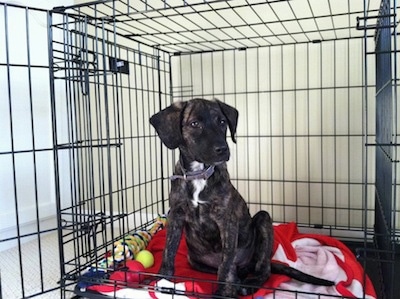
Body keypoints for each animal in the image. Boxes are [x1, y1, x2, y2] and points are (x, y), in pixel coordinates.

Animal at [148, 98, 332, 298]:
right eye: (194, 124)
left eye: (222, 122)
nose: (223, 149)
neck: (199, 174)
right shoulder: (176, 214)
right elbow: (169, 250)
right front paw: (161, 279)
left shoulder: (227, 220)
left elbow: (226, 261)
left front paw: (223, 291)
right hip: (194, 260)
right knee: (233, 270)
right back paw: (237, 280)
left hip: (263, 221)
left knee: (262, 269)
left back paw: (247, 284)